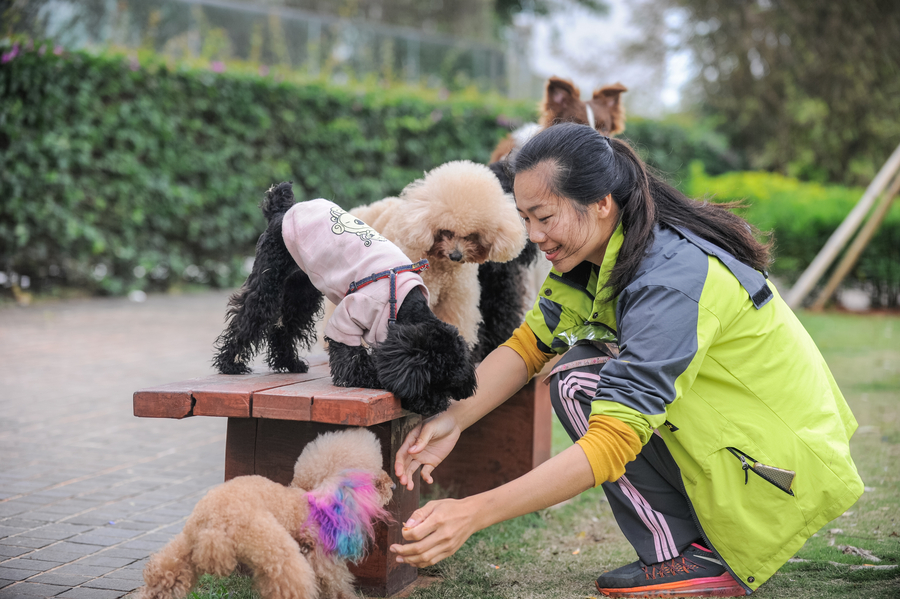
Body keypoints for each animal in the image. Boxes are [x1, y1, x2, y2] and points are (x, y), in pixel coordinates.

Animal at [141, 428, 394, 599]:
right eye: (375, 482)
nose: (392, 485)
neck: (309, 497)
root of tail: (215, 528)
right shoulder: (321, 556)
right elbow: (336, 581)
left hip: (187, 544)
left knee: (165, 575)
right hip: (276, 549)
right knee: (292, 585)